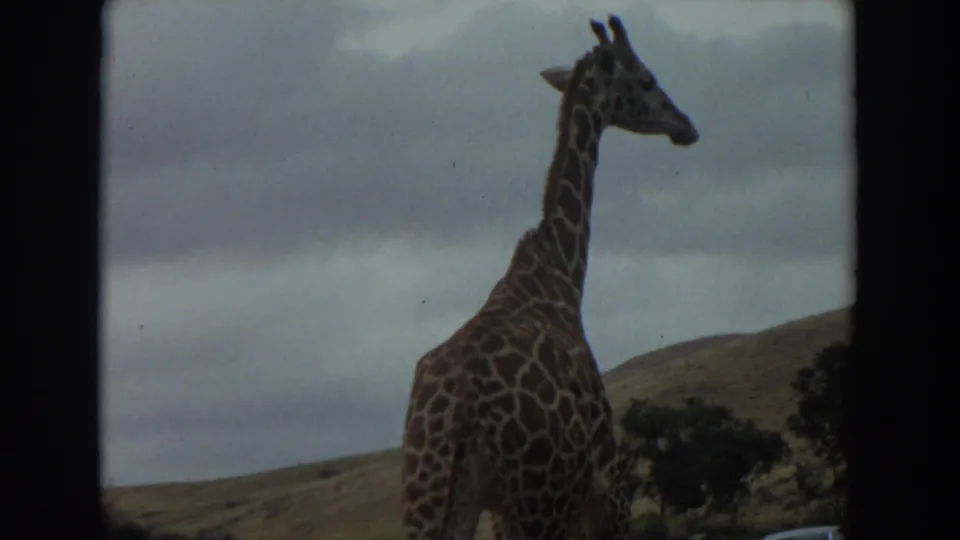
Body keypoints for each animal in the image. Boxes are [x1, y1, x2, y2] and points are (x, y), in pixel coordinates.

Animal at [401, 14, 699, 540]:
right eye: (647, 79)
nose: (686, 125)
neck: (561, 274)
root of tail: (459, 407)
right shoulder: (606, 483)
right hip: (539, 500)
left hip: (432, 494)